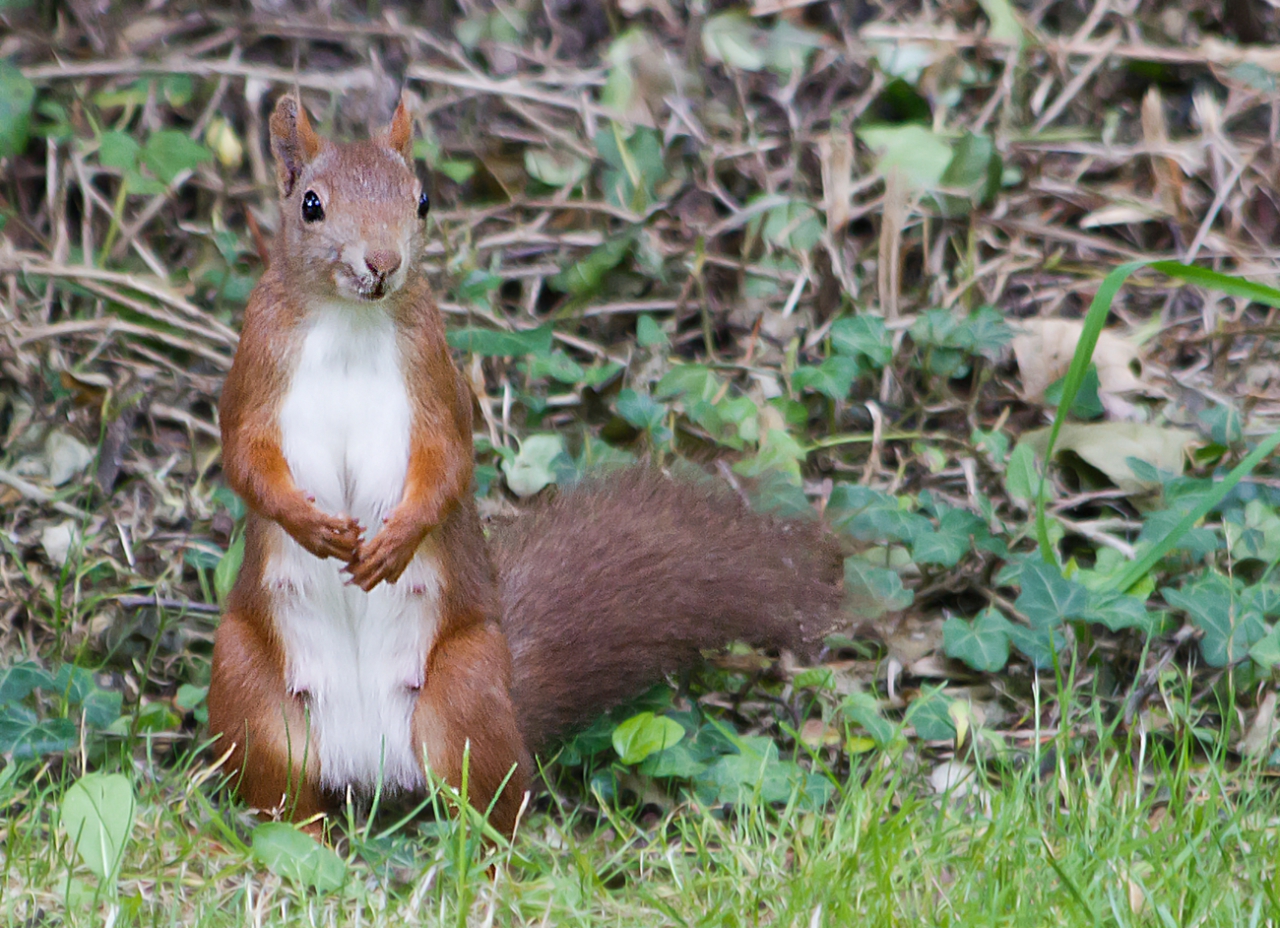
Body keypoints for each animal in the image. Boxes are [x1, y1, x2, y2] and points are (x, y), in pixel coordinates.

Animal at [208, 94, 844, 834]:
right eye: (311, 204)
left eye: (422, 199)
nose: (382, 262)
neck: (347, 322)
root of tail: (368, 761)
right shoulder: (256, 367)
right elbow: (244, 457)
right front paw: (310, 526)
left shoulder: (436, 380)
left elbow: (450, 462)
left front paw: (396, 542)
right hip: (248, 689)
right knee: (283, 801)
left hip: (467, 689)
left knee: (493, 800)